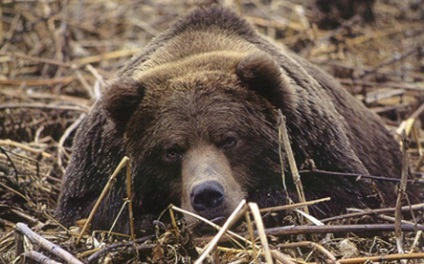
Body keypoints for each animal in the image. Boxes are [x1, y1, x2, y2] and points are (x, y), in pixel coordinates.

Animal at [55, 5, 414, 233]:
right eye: (171, 150)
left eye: (229, 139)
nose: (207, 195)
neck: (194, 54)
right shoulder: (100, 156)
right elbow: (83, 209)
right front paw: (148, 218)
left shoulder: (312, 140)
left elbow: (343, 196)